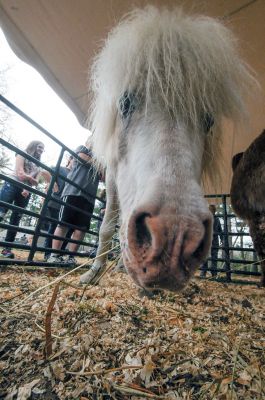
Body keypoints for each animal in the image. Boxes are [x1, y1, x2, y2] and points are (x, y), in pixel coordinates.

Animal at [80, 7, 254, 290]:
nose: (176, 237)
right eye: (125, 103)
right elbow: (107, 226)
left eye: (208, 120)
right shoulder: (113, 176)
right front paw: (93, 273)